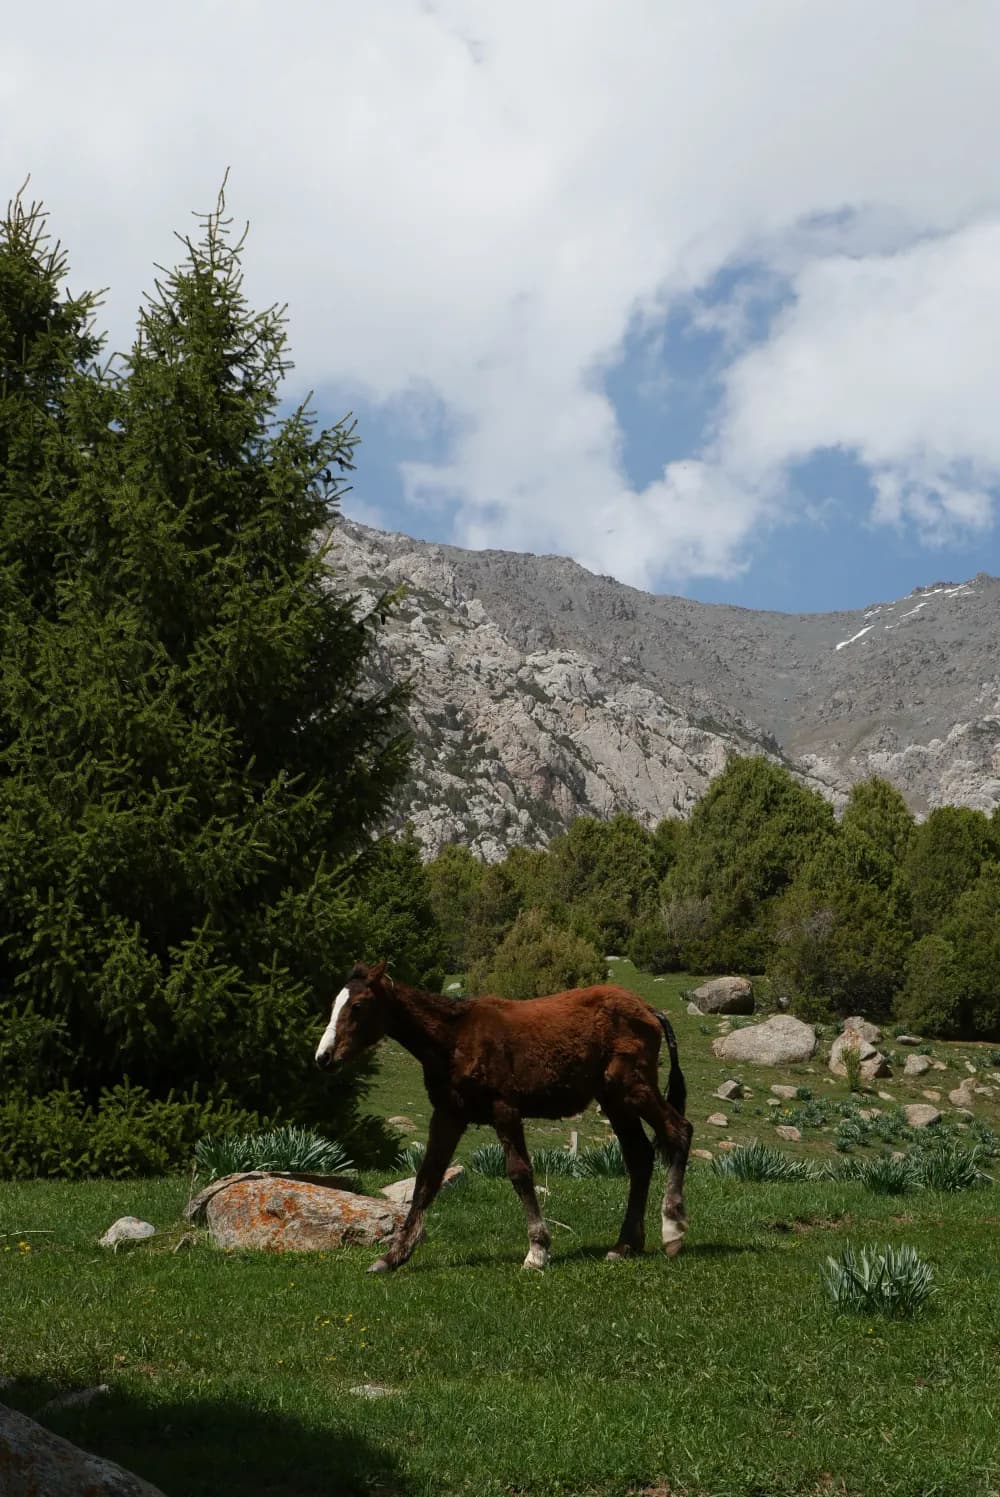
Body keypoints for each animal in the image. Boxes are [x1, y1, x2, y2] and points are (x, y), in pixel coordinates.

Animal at [314, 961, 692, 1272]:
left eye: (358, 1006)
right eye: (333, 1005)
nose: (323, 1057)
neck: (454, 1038)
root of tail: (649, 1010)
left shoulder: (505, 1109)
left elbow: (519, 1173)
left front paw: (537, 1251)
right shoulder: (449, 1115)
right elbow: (427, 1180)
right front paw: (393, 1257)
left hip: (632, 1087)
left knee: (679, 1131)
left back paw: (673, 1231)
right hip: (615, 1100)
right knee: (640, 1157)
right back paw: (625, 1245)